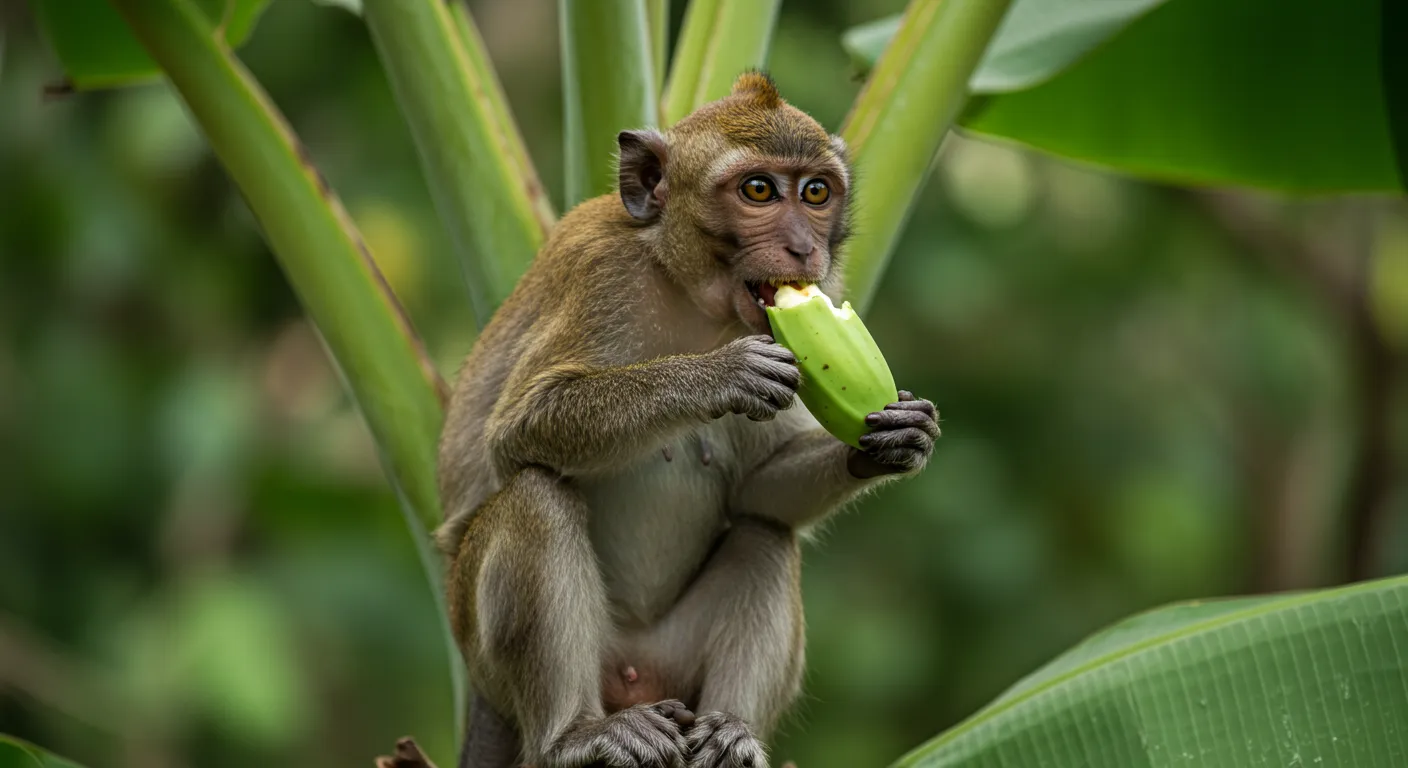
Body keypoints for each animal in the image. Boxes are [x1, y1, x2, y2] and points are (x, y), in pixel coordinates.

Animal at [439, 73, 940, 766]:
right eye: (758, 190)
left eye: (816, 192)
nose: (804, 248)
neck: (687, 289)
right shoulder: (601, 275)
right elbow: (520, 428)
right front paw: (718, 375)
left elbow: (758, 490)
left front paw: (894, 438)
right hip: (488, 650)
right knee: (536, 496)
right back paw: (575, 735)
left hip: (673, 663)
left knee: (765, 536)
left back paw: (731, 731)